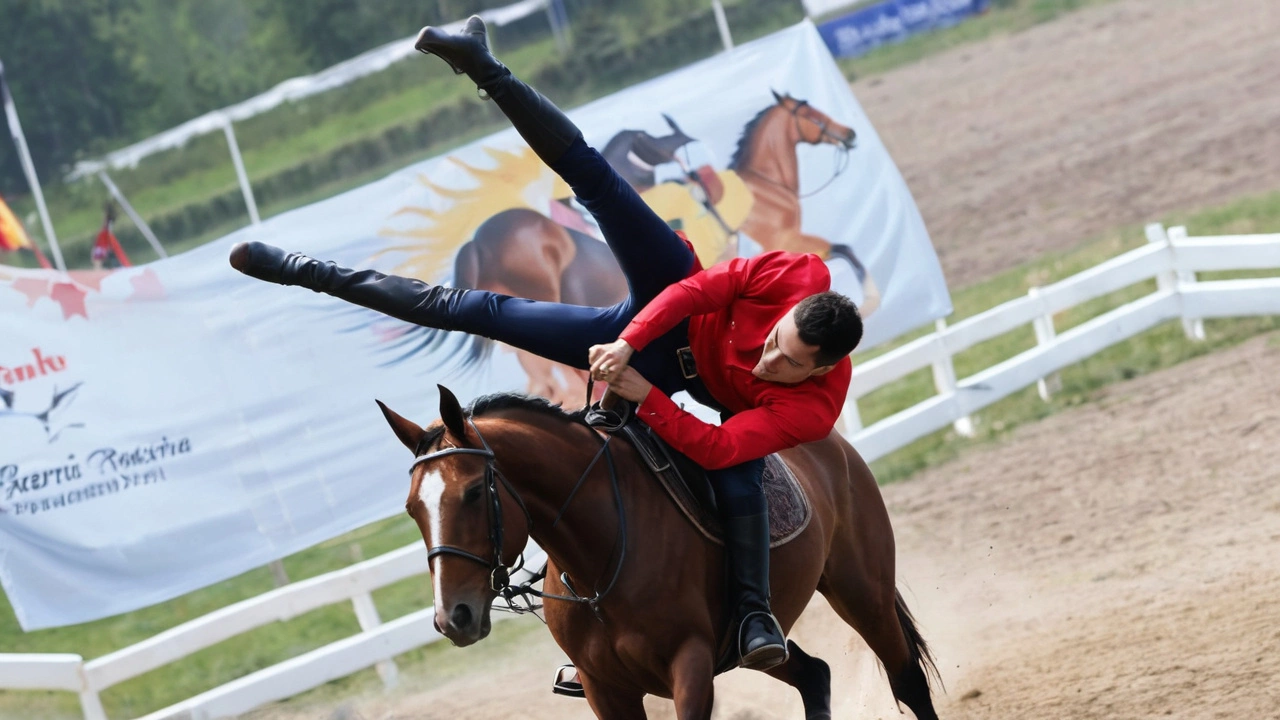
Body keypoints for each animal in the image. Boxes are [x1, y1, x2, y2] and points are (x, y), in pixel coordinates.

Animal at [378, 389, 942, 712]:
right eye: (411, 508)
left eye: (475, 492)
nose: (453, 617)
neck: (600, 564)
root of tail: (831, 441)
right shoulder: (605, 689)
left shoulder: (690, 667)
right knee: (814, 675)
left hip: (862, 593)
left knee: (907, 681)